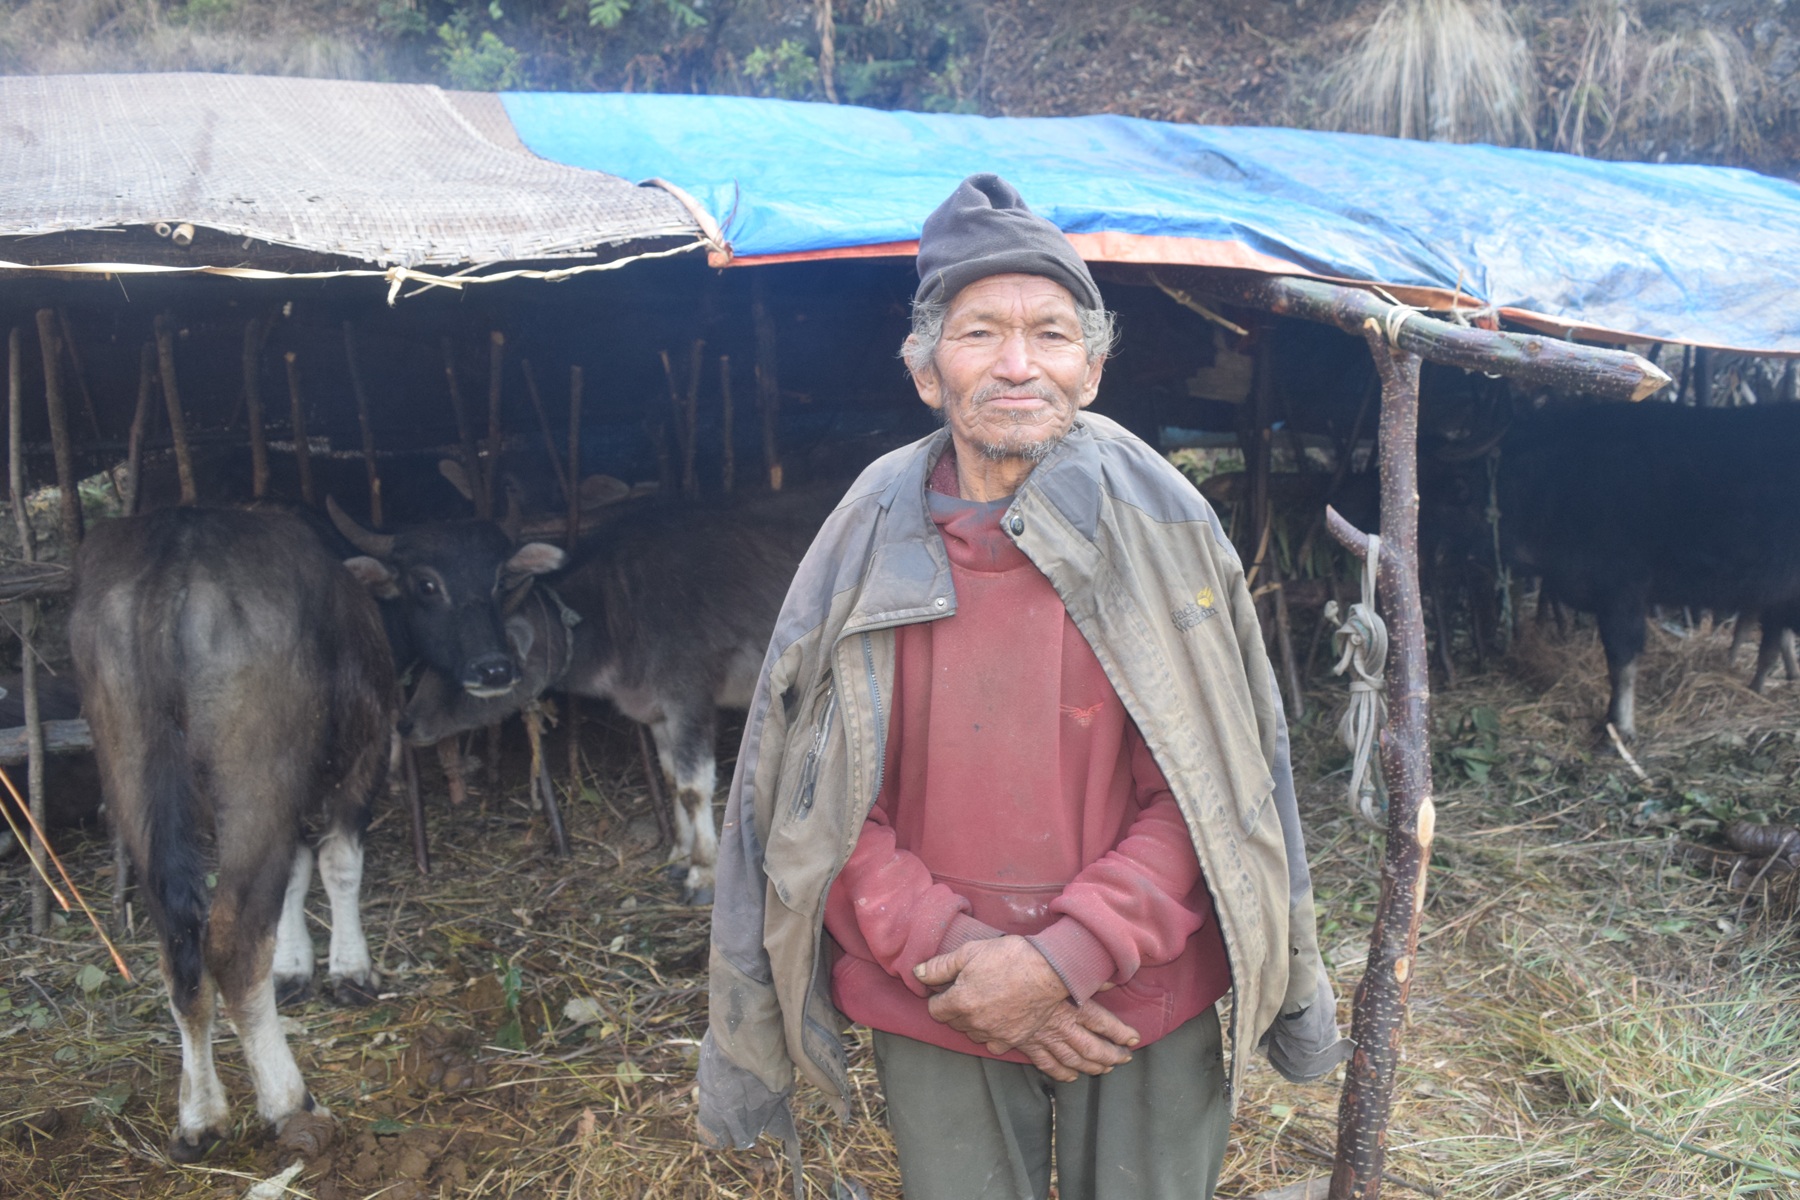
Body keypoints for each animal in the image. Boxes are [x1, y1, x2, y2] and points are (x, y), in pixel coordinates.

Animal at [72, 510, 394, 1165]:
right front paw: (350, 970)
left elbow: (295, 874)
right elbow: (338, 863)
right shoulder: (363, 762)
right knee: (234, 939)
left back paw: (199, 1116)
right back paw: (290, 1102)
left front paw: (295, 968)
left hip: (129, 760)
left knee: (179, 945)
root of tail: (173, 554)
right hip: (256, 774)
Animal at [334, 485, 831, 899]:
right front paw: (678, 855)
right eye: (430, 664)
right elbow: (671, 779)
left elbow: (694, 787)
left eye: (499, 583)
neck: (615, 612)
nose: (407, 723)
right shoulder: (655, 713)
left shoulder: (689, 699)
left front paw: (703, 873)